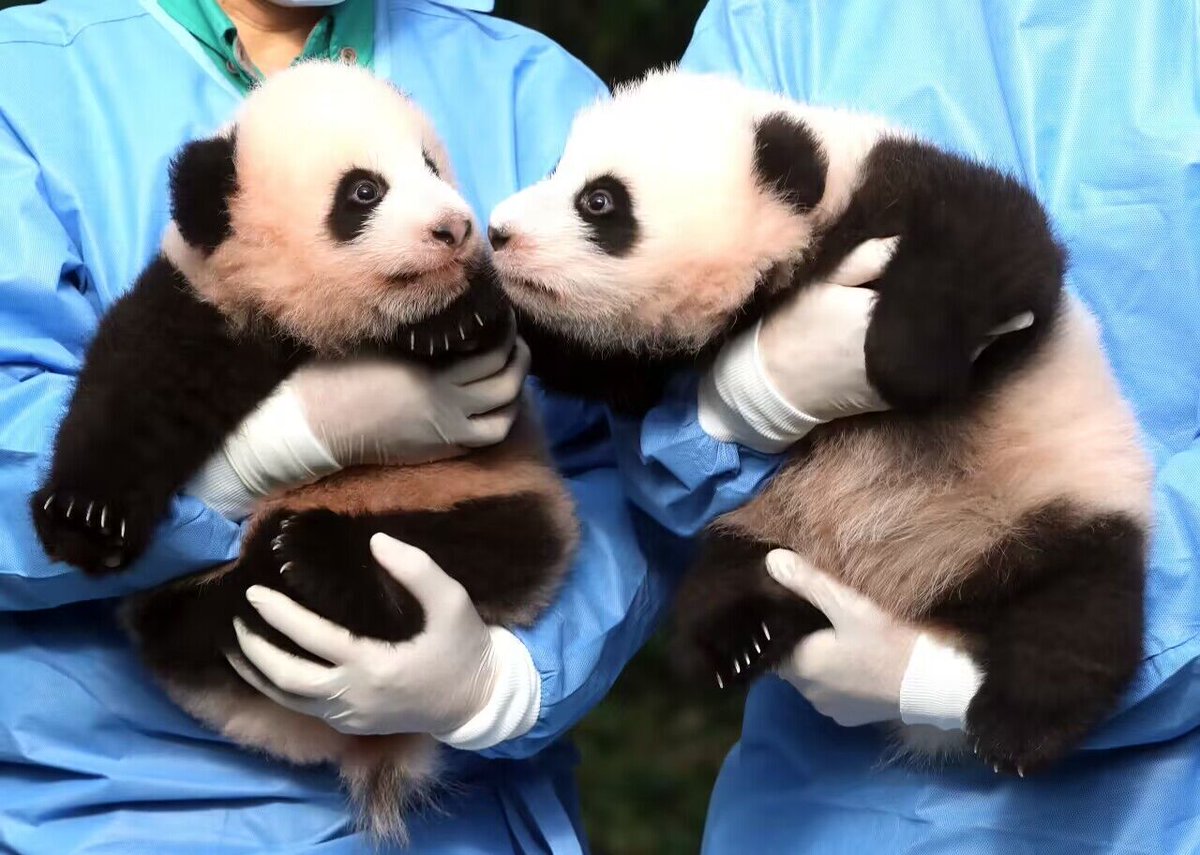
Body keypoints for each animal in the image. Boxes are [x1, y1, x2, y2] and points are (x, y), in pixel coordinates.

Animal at [29, 61, 578, 843]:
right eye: (363, 191)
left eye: (431, 165)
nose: (454, 226)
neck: (326, 326)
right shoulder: (207, 304)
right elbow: (134, 393)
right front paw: (86, 519)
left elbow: (501, 307)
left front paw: (454, 315)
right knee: (192, 623)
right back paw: (259, 583)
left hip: (498, 499)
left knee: (479, 546)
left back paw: (313, 563)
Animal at [486, 68, 1152, 776]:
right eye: (556, 169)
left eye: (600, 201)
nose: (499, 232)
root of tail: (921, 609)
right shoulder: (667, 356)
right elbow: (604, 371)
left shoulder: (898, 187)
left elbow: (995, 245)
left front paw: (898, 363)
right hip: (772, 530)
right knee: (730, 575)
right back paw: (735, 639)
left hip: (1047, 497)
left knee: (1077, 607)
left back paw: (1020, 726)